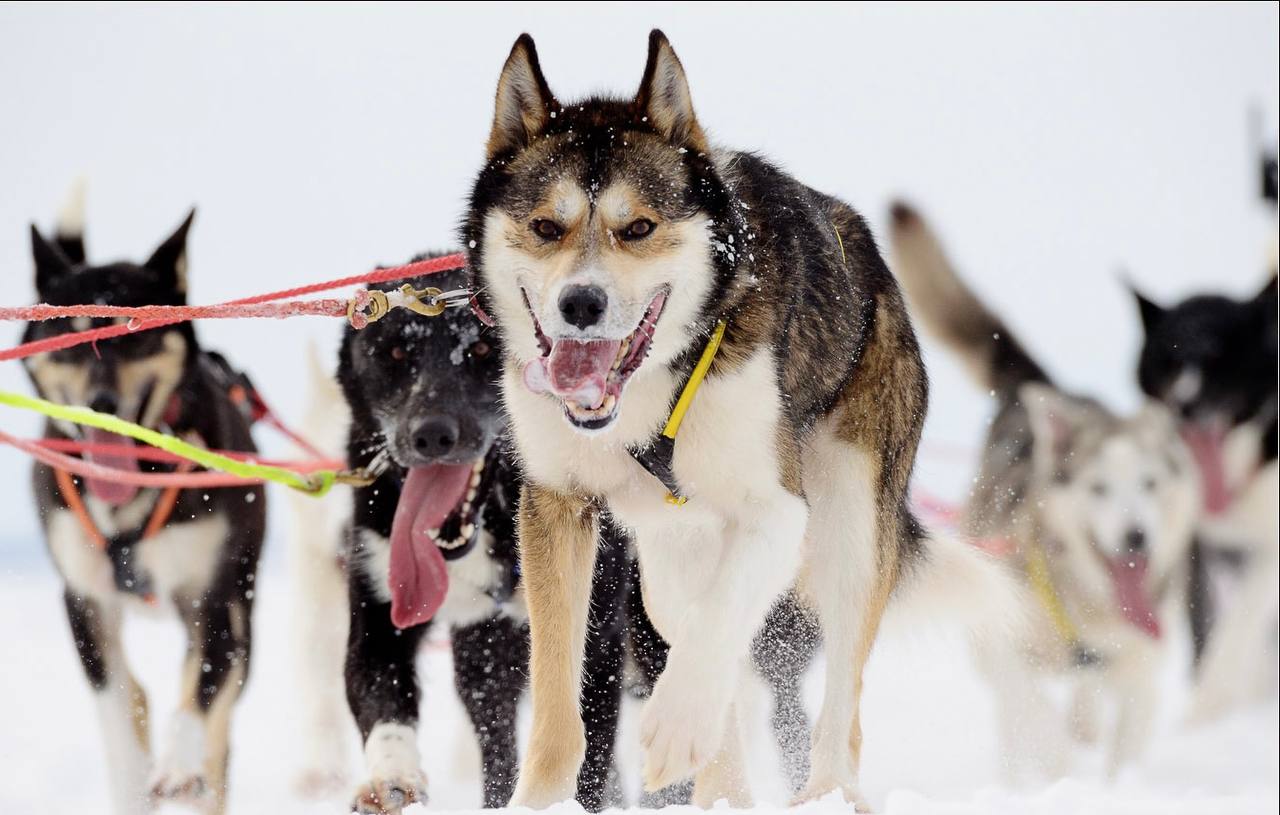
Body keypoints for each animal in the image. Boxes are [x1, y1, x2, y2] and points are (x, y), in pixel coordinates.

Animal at [21, 198, 263, 813]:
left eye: (137, 336)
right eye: (70, 335)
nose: (101, 402)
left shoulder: (213, 598)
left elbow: (198, 694)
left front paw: (177, 765)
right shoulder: (84, 602)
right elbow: (117, 706)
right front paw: (135, 778)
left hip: (241, 614)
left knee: (217, 723)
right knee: (138, 698)